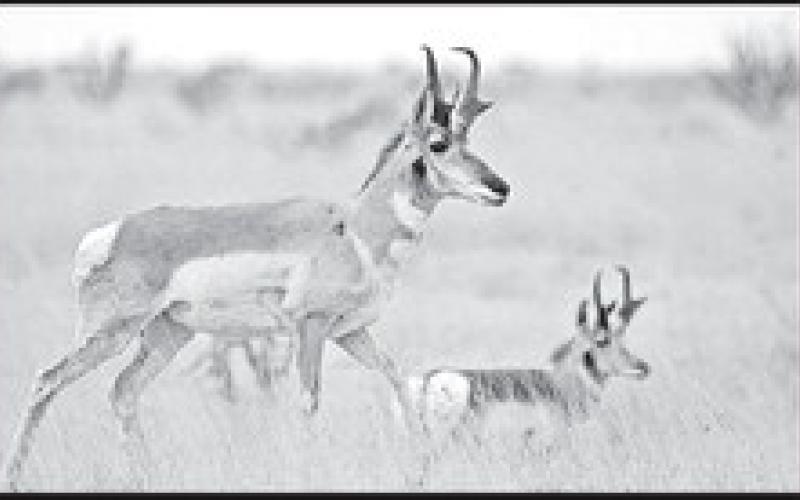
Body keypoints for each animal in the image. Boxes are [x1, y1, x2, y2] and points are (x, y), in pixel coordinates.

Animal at [3, 45, 509, 491]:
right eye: (439, 143)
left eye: (468, 139)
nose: (500, 187)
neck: (353, 229)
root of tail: (110, 232)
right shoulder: (310, 326)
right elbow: (308, 401)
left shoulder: (350, 331)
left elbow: (397, 375)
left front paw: (421, 469)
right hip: (111, 334)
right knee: (47, 381)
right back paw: (16, 477)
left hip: (167, 335)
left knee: (123, 390)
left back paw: (147, 477)